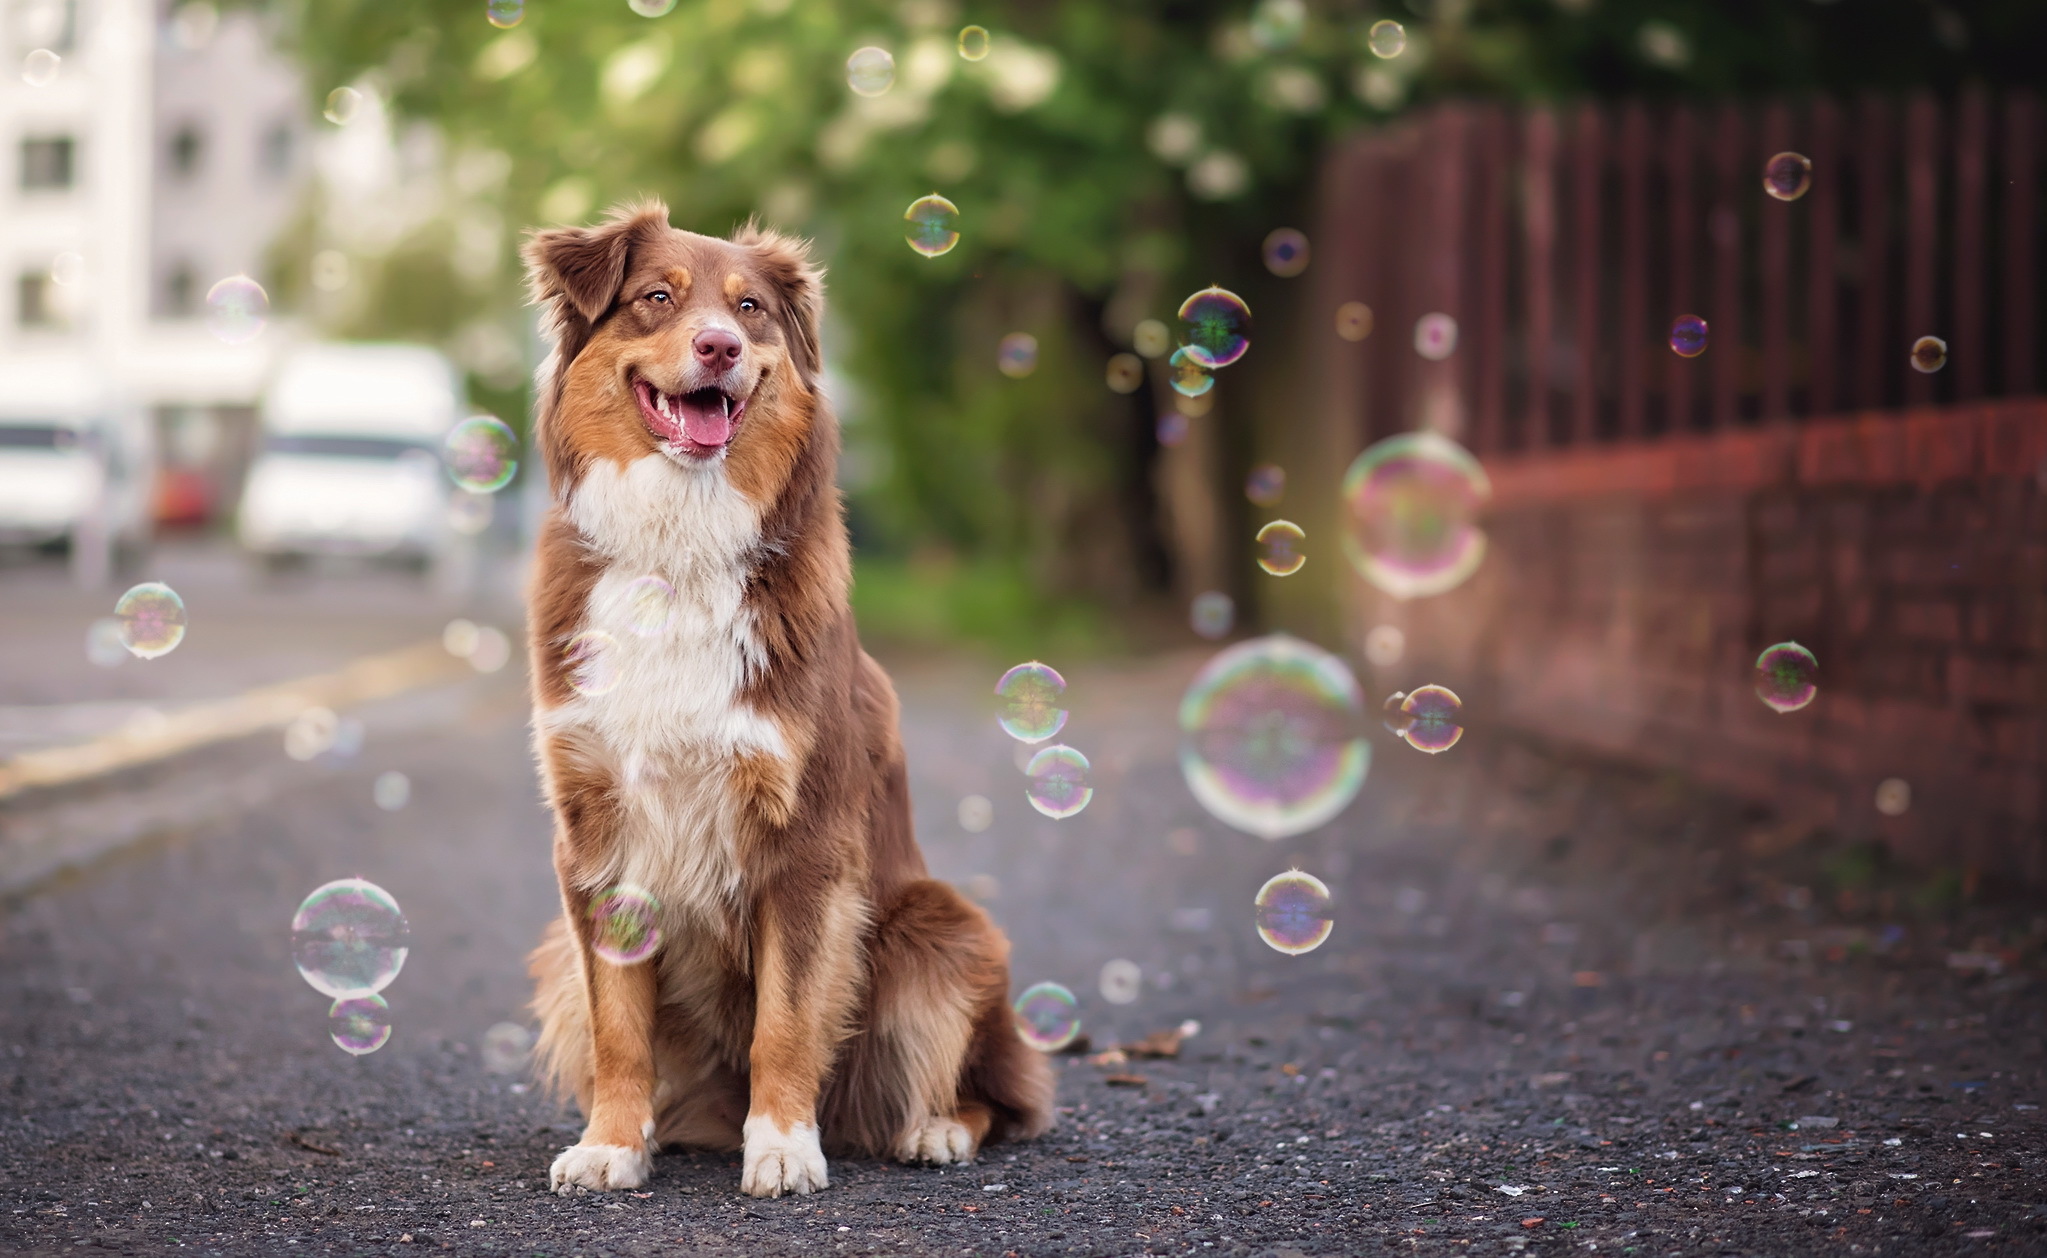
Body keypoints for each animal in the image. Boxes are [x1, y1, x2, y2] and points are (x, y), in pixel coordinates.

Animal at [519, 199, 1056, 1202]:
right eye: (656, 298)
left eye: (751, 308)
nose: (721, 346)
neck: (679, 547)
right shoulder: (593, 838)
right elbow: (619, 1028)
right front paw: (610, 1144)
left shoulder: (805, 840)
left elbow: (788, 1016)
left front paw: (780, 1147)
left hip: (943, 928)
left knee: (999, 1096)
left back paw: (930, 1129)